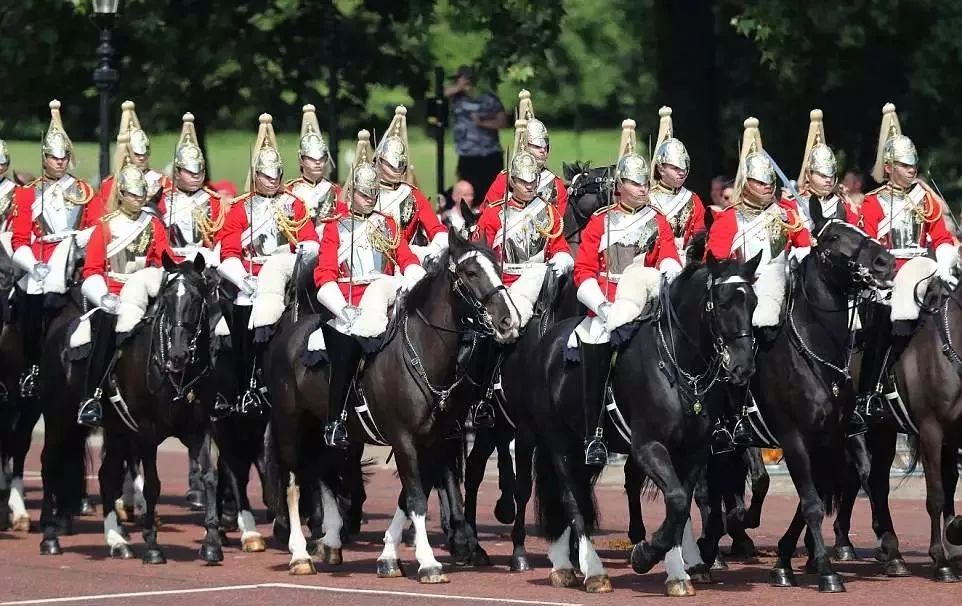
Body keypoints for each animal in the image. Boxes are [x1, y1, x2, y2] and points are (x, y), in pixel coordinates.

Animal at [262, 230, 516, 580]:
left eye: (497, 268)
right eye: (470, 273)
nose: (508, 321)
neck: (422, 352)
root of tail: (288, 332)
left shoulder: (433, 441)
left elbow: (409, 496)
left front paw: (389, 556)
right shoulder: (404, 438)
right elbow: (416, 498)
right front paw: (428, 561)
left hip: (323, 426)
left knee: (320, 469)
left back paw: (331, 540)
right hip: (290, 421)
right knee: (292, 479)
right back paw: (300, 554)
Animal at [524, 253, 756, 600]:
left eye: (753, 302)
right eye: (723, 303)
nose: (744, 367)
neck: (677, 364)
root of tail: (549, 340)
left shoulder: (693, 451)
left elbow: (681, 507)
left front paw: (677, 572)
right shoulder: (648, 447)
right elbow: (676, 500)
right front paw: (645, 554)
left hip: (584, 451)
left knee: (578, 494)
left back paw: (568, 565)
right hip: (559, 444)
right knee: (571, 499)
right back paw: (590, 570)